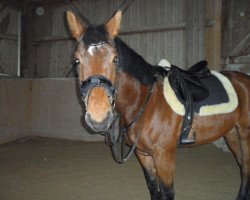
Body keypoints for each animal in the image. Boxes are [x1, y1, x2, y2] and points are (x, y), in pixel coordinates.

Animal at [66, 8, 250, 199]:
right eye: (77, 60)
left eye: (115, 59)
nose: (99, 118)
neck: (144, 103)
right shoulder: (143, 154)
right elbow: (154, 187)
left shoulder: (164, 156)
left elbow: (167, 191)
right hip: (231, 133)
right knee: (242, 163)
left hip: (245, 133)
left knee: (246, 166)